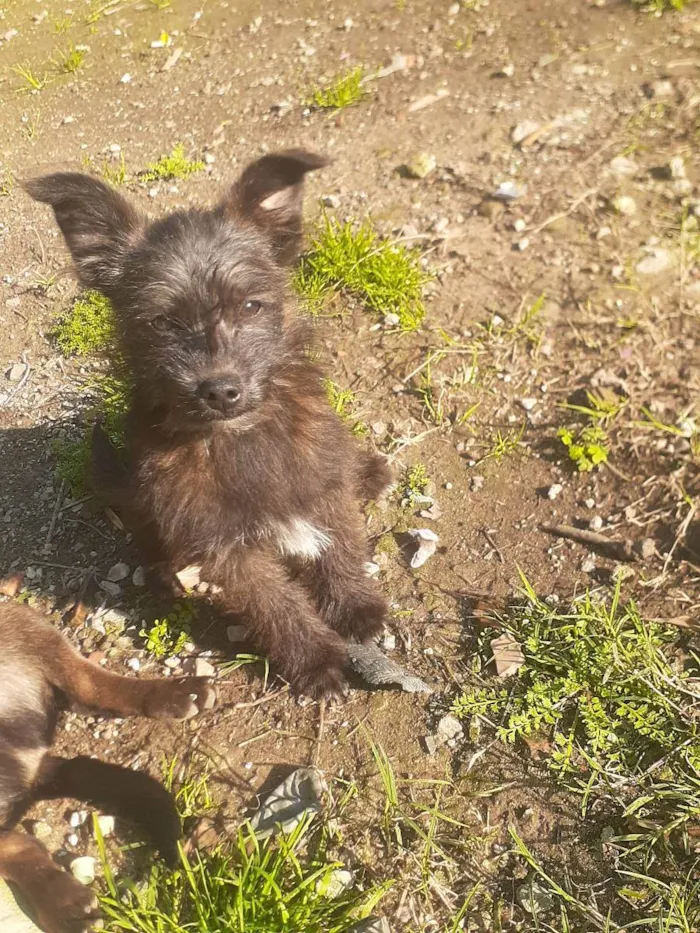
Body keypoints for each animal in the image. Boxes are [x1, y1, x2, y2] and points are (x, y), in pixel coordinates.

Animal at [27, 149, 392, 696]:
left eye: (251, 306)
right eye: (162, 322)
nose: (219, 390)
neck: (240, 441)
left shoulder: (320, 482)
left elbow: (342, 544)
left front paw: (355, 606)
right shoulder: (226, 546)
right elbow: (276, 604)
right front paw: (314, 659)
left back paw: (368, 472)